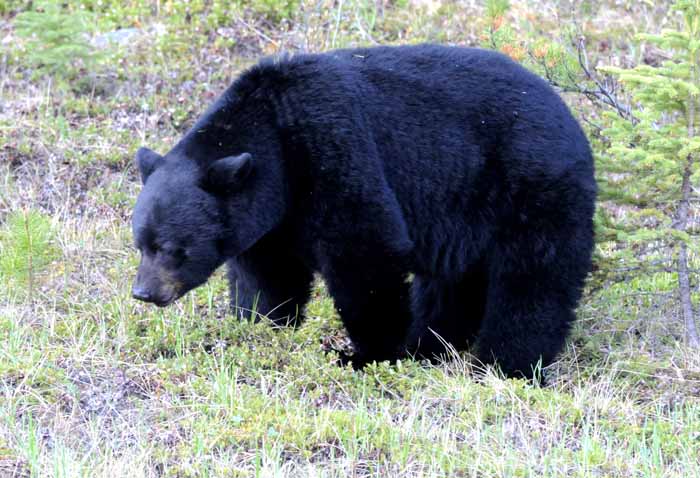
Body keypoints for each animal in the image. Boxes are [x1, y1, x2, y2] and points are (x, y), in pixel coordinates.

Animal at [131, 45, 596, 380]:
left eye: (172, 248)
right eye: (141, 243)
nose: (144, 293)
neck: (277, 137)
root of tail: (569, 115)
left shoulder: (334, 151)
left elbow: (365, 253)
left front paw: (366, 356)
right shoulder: (268, 218)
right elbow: (269, 276)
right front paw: (258, 328)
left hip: (530, 186)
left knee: (532, 282)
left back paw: (503, 365)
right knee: (450, 284)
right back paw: (432, 348)